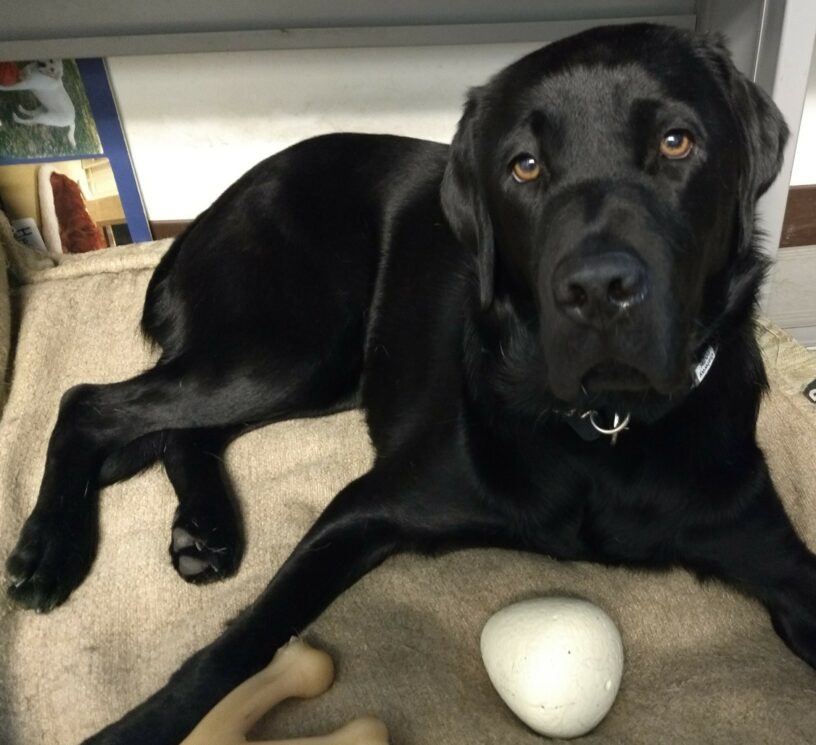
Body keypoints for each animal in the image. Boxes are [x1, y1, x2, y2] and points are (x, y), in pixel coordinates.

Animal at [6, 23, 808, 744]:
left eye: (676, 142)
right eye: (523, 165)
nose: (598, 290)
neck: (603, 429)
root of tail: (209, 210)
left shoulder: (767, 545)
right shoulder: (367, 506)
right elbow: (243, 642)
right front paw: (141, 726)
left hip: (321, 370)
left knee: (175, 427)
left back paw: (205, 528)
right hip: (288, 347)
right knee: (91, 402)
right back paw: (51, 550)